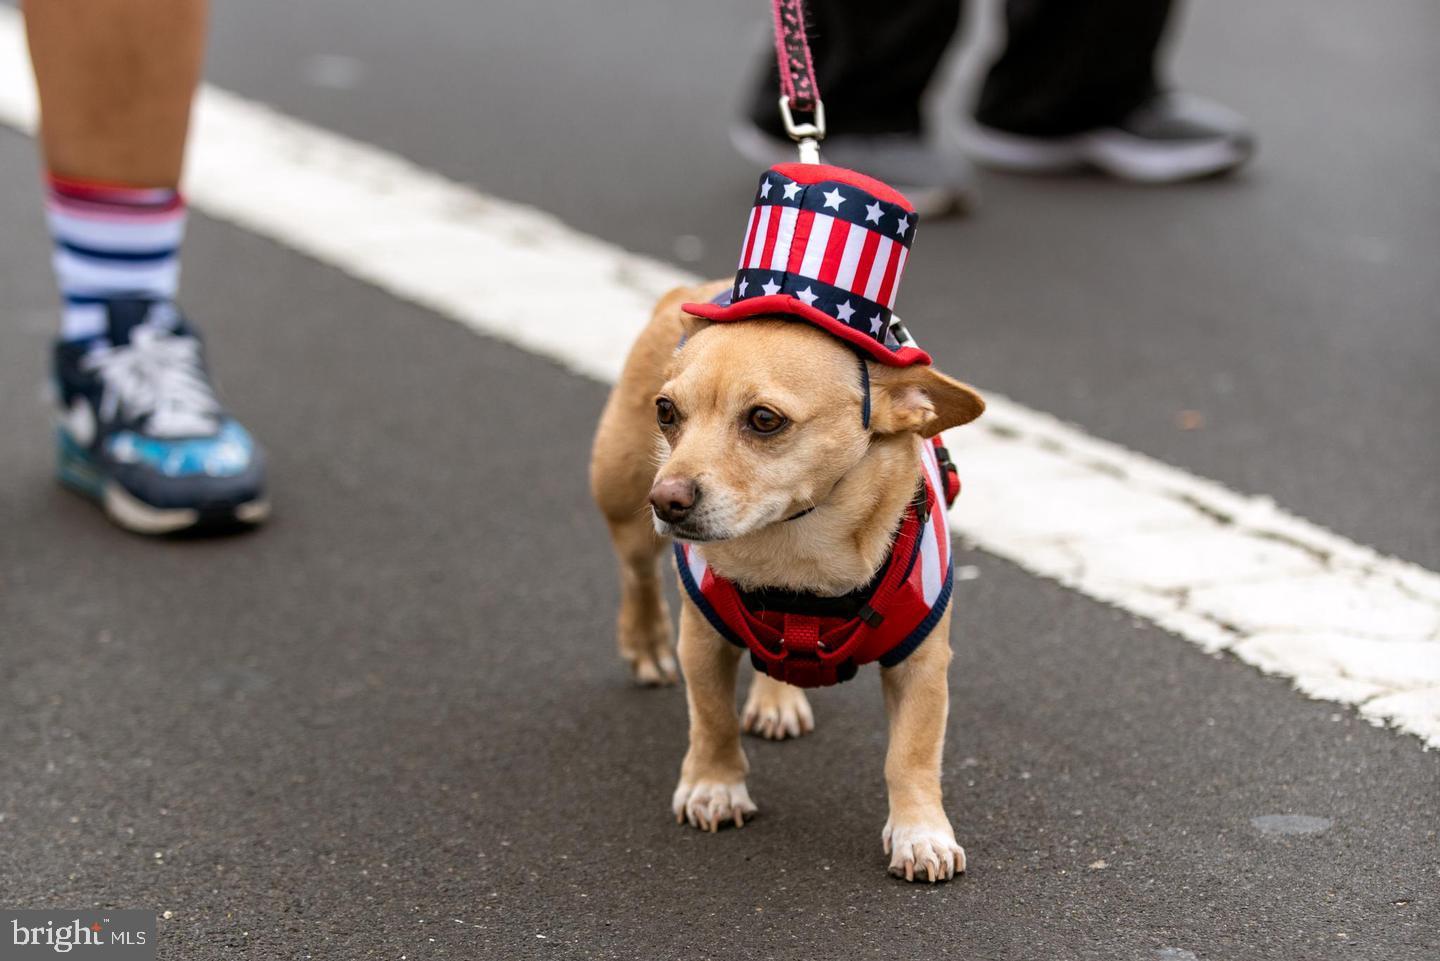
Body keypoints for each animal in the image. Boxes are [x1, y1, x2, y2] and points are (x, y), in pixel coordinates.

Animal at [590, 276, 984, 881]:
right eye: (666, 411)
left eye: (764, 419)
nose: (666, 499)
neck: (795, 560)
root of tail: (693, 288)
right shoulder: (702, 642)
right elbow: (712, 719)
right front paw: (714, 787)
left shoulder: (921, 664)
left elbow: (913, 753)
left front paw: (921, 833)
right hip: (621, 495)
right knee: (637, 574)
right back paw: (646, 645)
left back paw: (777, 698)